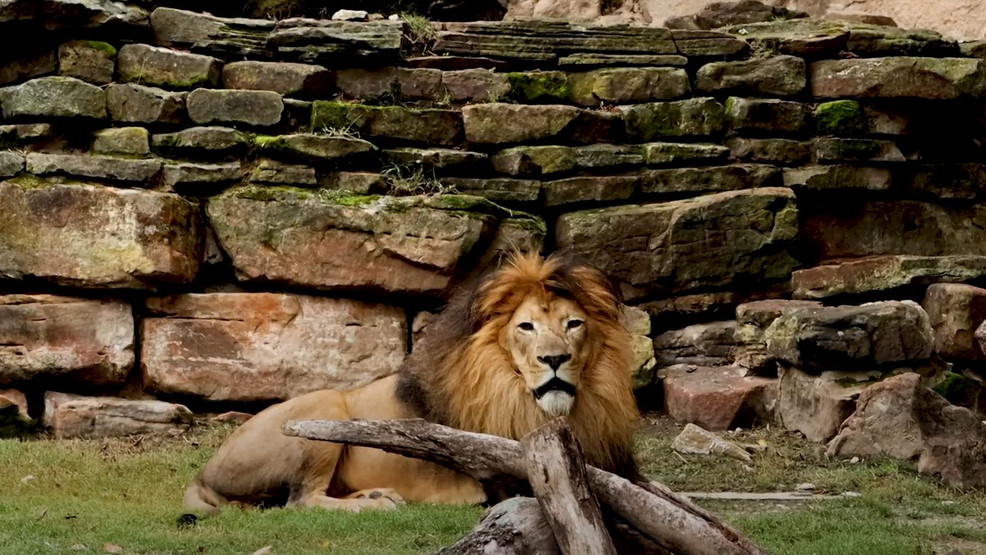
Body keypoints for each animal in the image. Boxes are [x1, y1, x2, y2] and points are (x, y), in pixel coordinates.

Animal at [183, 252, 640, 513]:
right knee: (299, 501)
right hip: (324, 405)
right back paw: (376, 507)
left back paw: (374, 496)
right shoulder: (509, 479)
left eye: (573, 324)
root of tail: (202, 474)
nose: (554, 359)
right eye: (526, 327)